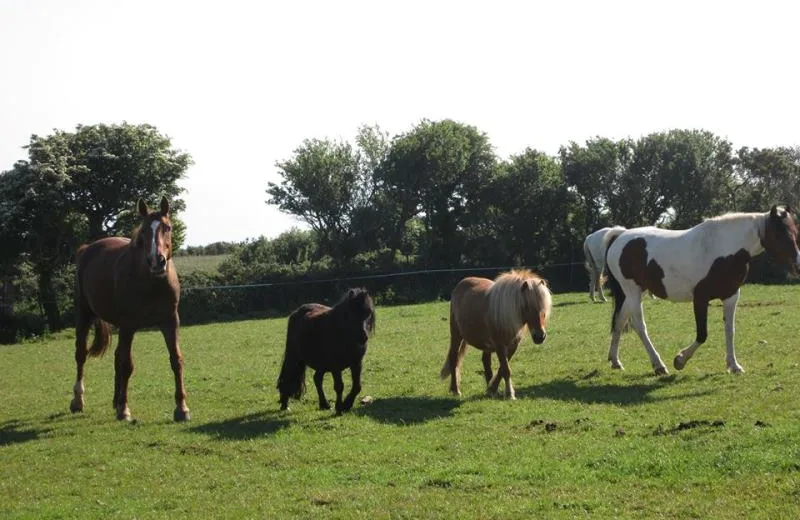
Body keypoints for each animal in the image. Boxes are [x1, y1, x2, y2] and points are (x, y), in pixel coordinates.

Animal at [69, 197, 191, 420]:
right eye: (143, 231)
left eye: (167, 228)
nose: (157, 261)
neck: (152, 283)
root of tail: (87, 249)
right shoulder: (128, 325)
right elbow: (127, 365)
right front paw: (125, 410)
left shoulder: (170, 322)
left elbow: (176, 360)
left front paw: (181, 408)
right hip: (84, 315)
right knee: (81, 354)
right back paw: (78, 401)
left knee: (116, 356)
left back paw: (115, 401)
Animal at [440, 270, 552, 400]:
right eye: (526, 306)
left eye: (543, 307)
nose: (540, 336)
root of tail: (461, 283)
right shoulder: (500, 345)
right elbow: (506, 370)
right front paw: (510, 394)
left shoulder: (512, 346)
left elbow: (501, 369)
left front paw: (492, 389)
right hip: (456, 335)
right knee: (454, 358)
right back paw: (455, 390)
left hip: (486, 345)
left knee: (486, 362)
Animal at [608, 205, 800, 376]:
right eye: (779, 234)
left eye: (795, 232)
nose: (797, 266)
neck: (723, 250)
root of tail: (620, 235)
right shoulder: (700, 298)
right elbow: (702, 335)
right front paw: (680, 360)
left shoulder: (731, 296)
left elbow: (730, 331)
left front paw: (734, 366)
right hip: (633, 292)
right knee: (639, 326)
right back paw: (658, 365)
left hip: (634, 293)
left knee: (619, 321)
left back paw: (615, 361)